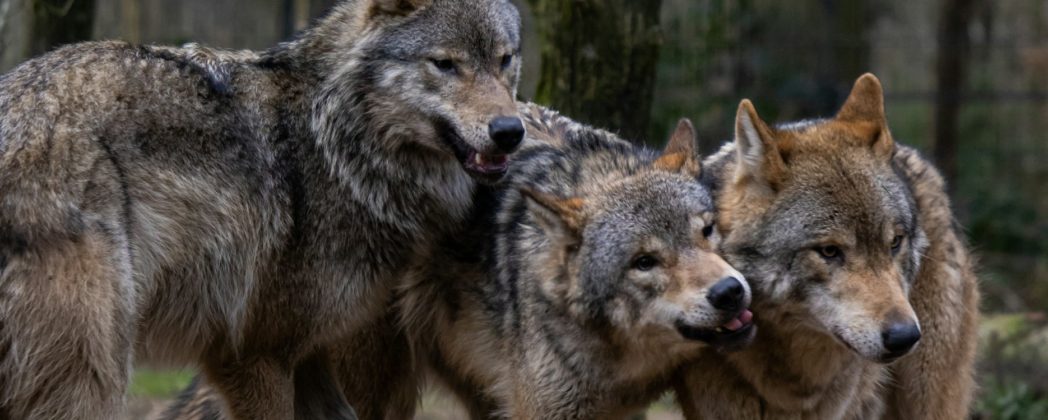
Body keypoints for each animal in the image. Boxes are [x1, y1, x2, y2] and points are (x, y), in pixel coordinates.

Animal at [0, 0, 525, 418]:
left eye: (504, 60)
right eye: (445, 64)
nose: (510, 131)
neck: (339, 144)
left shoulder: (310, 356)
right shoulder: (254, 355)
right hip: (96, 374)